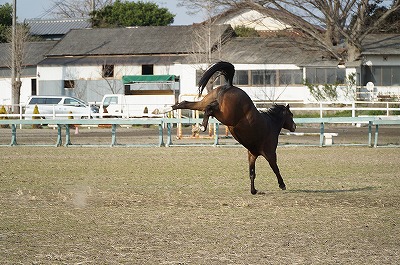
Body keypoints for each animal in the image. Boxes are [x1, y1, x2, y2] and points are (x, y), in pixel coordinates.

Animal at [172, 62, 296, 194]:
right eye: (291, 115)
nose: (294, 126)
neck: (271, 124)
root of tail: (229, 86)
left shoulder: (252, 155)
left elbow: (252, 173)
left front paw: (253, 190)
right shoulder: (270, 153)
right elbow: (275, 168)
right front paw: (282, 184)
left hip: (204, 103)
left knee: (190, 104)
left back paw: (176, 108)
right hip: (226, 116)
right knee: (209, 109)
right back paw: (201, 127)